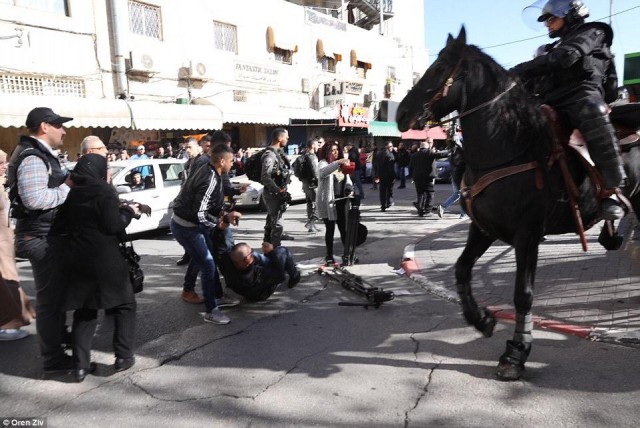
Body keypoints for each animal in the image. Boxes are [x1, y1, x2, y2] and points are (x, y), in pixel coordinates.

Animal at [398, 27, 636, 382]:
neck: (508, 145)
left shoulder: (528, 235)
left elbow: (523, 295)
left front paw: (516, 352)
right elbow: (461, 269)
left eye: (440, 68)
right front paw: (482, 319)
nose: (401, 114)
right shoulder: (483, 229)